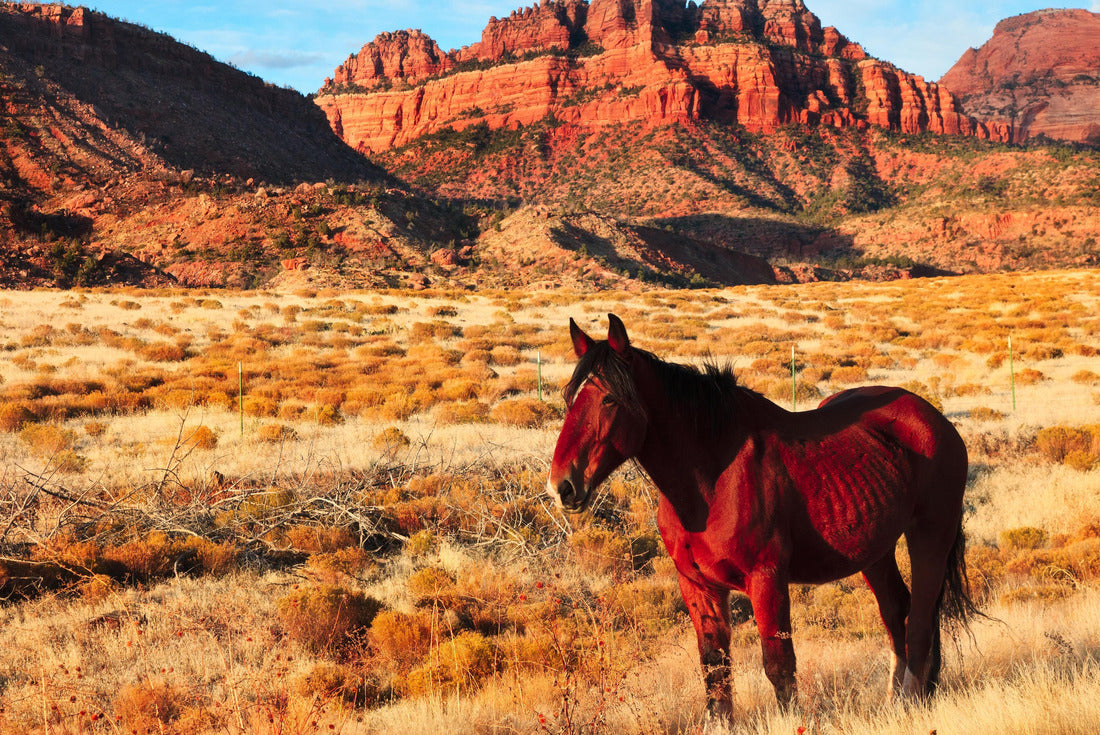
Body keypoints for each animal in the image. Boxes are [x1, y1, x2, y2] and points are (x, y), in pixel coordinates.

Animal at [547, 314, 978, 719]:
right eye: (569, 397)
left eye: (609, 400)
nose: (562, 485)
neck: (711, 482)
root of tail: (933, 418)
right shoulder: (699, 586)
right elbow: (715, 671)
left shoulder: (766, 579)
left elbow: (779, 667)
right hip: (875, 550)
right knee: (896, 613)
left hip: (930, 538)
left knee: (920, 622)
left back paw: (911, 702)